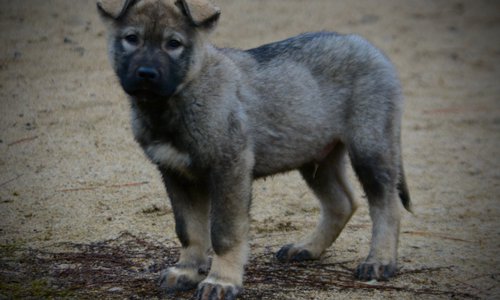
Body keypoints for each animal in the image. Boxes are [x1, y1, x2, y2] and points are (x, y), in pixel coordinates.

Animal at [96, 0, 410, 298]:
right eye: (131, 39)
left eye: (173, 44)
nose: (146, 74)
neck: (182, 97)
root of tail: (369, 47)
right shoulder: (176, 174)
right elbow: (188, 230)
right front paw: (187, 271)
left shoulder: (229, 169)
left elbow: (224, 233)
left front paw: (221, 281)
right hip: (316, 158)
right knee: (342, 202)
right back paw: (307, 247)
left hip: (370, 149)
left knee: (386, 205)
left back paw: (379, 261)